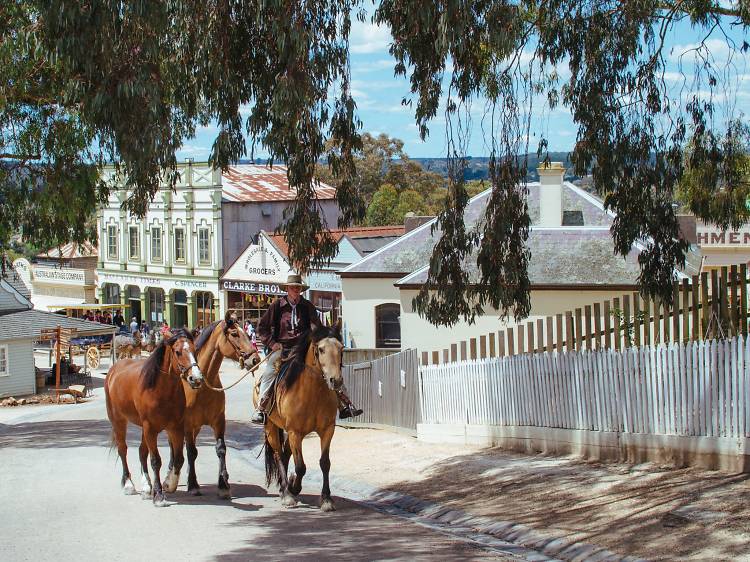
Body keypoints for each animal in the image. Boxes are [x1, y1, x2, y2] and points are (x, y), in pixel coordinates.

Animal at [105, 326, 206, 506]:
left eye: (195, 350)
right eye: (178, 352)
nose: (196, 378)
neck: (160, 390)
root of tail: (113, 370)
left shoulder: (175, 428)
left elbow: (179, 459)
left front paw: (169, 484)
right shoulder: (151, 429)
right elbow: (155, 461)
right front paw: (159, 495)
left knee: (141, 452)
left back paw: (146, 487)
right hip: (119, 421)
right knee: (123, 450)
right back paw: (129, 484)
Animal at [162, 310, 262, 498]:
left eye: (246, 333)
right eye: (234, 334)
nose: (255, 359)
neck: (201, 386)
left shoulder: (218, 421)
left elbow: (221, 449)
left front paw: (223, 485)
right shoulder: (187, 424)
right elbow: (191, 451)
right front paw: (193, 484)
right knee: (173, 446)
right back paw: (171, 475)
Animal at [256, 322, 344, 510]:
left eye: (341, 348)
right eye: (321, 349)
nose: (336, 380)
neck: (313, 393)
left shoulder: (327, 430)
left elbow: (325, 463)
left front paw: (326, 499)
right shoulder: (295, 432)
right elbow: (301, 466)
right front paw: (293, 490)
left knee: (284, 453)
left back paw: (285, 488)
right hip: (272, 428)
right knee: (278, 454)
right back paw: (286, 492)